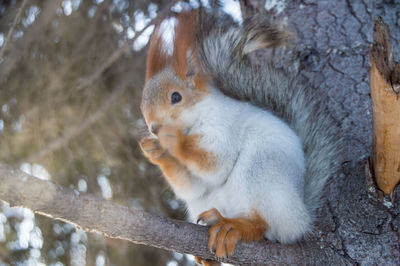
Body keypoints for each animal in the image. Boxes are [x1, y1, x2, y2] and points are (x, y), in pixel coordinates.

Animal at [139, 7, 342, 262]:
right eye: (142, 107)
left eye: (176, 97)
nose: (154, 127)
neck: (199, 114)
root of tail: (301, 217)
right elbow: (193, 186)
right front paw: (154, 151)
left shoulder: (224, 127)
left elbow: (216, 163)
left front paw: (172, 138)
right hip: (204, 202)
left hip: (262, 170)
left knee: (264, 225)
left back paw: (236, 227)